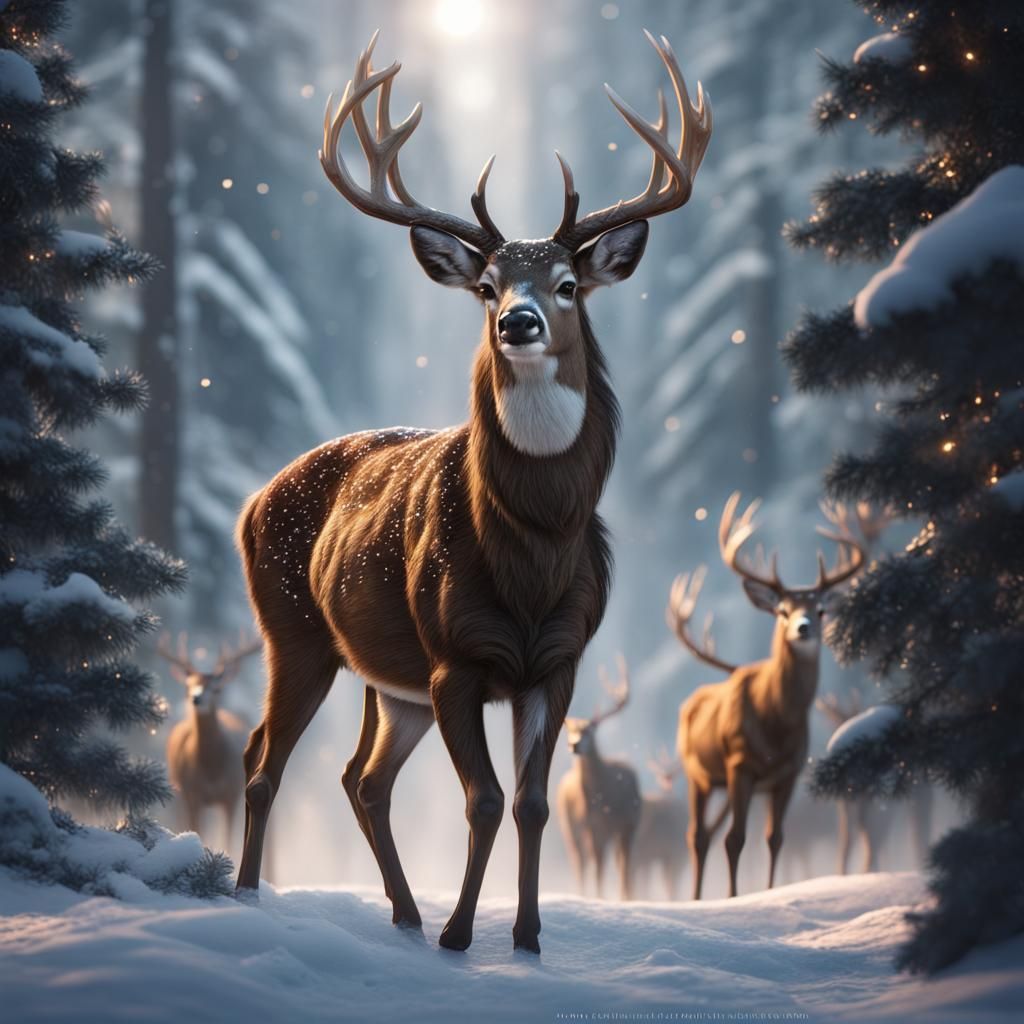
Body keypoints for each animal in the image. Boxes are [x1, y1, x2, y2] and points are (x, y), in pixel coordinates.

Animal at [158, 632, 263, 848]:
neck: (211, 770)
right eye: (188, 686)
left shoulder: (231, 794)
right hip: (179, 791)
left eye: (216, 689)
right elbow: (197, 830)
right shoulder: (193, 793)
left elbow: (228, 840)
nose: (196, 698)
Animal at [556, 656, 642, 900]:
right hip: (569, 827)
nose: (574, 744)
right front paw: (594, 896)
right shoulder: (588, 825)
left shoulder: (616, 825)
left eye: (590, 731)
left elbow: (611, 866)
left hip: (624, 828)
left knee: (622, 864)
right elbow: (593, 865)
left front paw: (612, 897)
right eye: (570, 732)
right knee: (581, 862)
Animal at [667, 493, 865, 899]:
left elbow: (775, 839)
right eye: (782, 610)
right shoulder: (739, 763)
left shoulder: (788, 773)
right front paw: (732, 898)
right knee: (698, 835)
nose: (803, 628)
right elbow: (736, 840)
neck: (776, 723)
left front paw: (771, 893)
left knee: (709, 833)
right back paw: (696, 899)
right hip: (700, 773)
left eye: (821, 609)